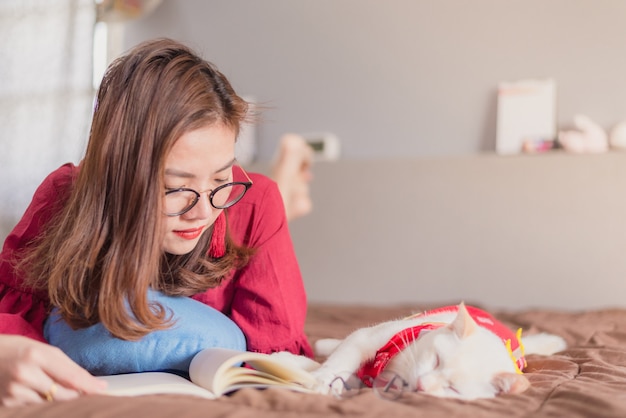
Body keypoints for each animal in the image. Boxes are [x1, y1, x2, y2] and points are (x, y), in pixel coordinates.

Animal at [310, 302, 564, 400]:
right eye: (437, 360)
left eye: (453, 389)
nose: (423, 385)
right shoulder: (368, 338)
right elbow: (344, 356)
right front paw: (320, 379)